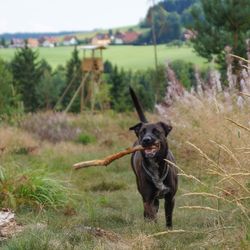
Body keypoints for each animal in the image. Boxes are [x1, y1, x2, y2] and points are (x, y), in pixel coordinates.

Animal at [129, 87, 178, 229]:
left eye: (156, 131)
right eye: (142, 132)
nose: (146, 140)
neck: (155, 166)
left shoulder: (170, 197)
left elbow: (168, 217)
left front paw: (169, 230)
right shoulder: (148, 199)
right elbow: (151, 214)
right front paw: (154, 229)